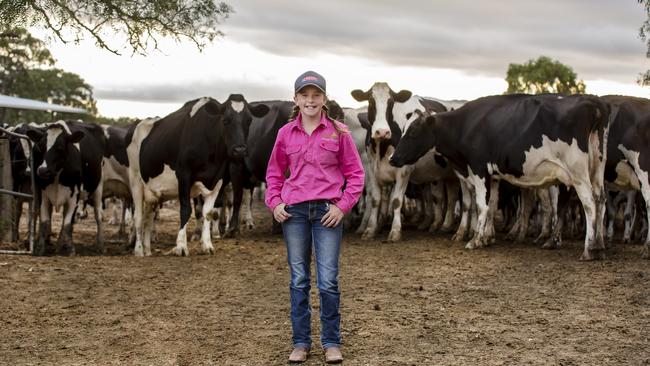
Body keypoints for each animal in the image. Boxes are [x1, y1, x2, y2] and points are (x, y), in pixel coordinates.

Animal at [25, 120, 105, 254]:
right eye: (41, 146)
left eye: (60, 148)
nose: (42, 170)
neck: (57, 175)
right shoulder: (43, 195)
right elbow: (45, 222)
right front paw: (40, 248)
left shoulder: (74, 197)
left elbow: (68, 224)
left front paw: (71, 249)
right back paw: (58, 246)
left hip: (98, 187)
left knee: (98, 216)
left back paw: (100, 245)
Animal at [350, 83, 450, 243]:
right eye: (371, 102)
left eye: (391, 103)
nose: (382, 132)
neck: (382, 147)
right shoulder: (371, 170)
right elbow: (376, 200)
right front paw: (370, 229)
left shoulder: (403, 171)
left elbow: (397, 200)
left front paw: (395, 231)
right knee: (431, 197)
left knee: (442, 197)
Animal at [388, 94, 612, 260]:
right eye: (404, 130)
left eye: (413, 132)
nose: (393, 158)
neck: (465, 125)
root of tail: (594, 102)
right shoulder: (493, 176)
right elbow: (492, 204)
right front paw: (488, 237)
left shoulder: (479, 169)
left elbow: (482, 205)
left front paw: (475, 240)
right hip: (597, 168)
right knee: (600, 200)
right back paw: (599, 247)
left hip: (577, 172)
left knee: (589, 203)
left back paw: (588, 249)